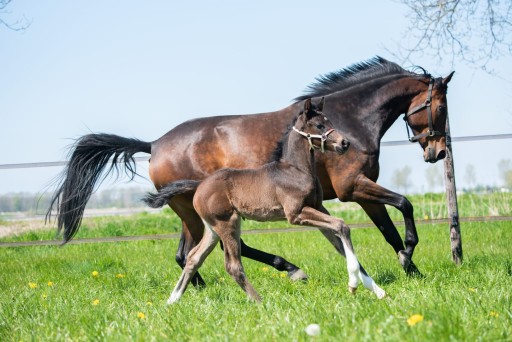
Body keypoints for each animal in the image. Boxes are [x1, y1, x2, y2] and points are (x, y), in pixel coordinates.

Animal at [48, 56, 454, 286]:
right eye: (440, 107)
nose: (437, 152)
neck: (350, 119)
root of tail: (155, 145)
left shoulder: (358, 191)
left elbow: (387, 228)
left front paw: (411, 270)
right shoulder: (354, 186)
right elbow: (404, 206)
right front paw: (410, 259)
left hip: (190, 210)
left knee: (191, 251)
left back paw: (203, 285)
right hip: (198, 210)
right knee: (219, 247)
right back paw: (284, 270)